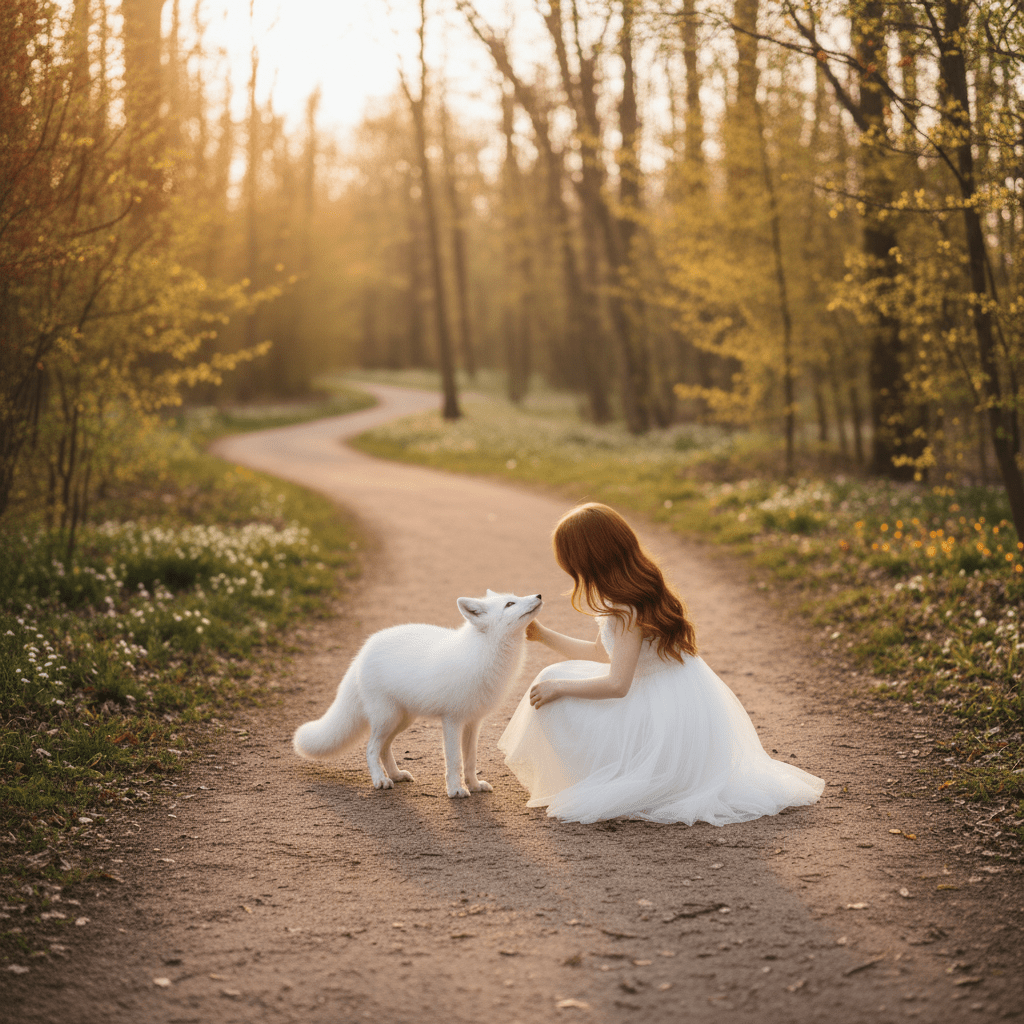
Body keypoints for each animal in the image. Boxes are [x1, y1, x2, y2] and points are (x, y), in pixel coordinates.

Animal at [293, 590, 543, 797]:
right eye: (509, 604)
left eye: (516, 596)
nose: (539, 595)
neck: (481, 652)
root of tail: (362, 652)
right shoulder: (452, 720)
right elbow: (455, 761)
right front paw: (456, 790)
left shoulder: (473, 722)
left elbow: (470, 761)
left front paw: (473, 785)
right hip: (387, 718)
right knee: (371, 749)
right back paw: (381, 780)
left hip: (402, 720)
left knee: (384, 749)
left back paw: (395, 775)